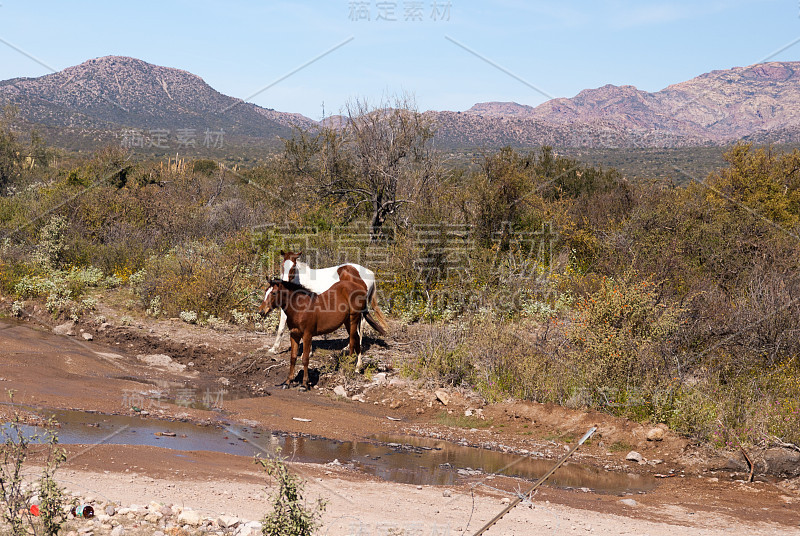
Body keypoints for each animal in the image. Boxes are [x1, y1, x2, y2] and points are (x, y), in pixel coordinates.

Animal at [258, 272, 386, 390]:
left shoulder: (307, 335)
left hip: (353, 319)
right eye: (266, 291)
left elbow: (305, 359)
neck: (300, 308)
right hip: (347, 322)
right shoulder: (294, 335)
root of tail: (360, 289)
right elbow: (293, 358)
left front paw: (304, 384)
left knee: (352, 343)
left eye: (274, 293)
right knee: (356, 341)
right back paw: (357, 368)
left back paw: (349, 368)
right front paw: (288, 382)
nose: (261, 311)